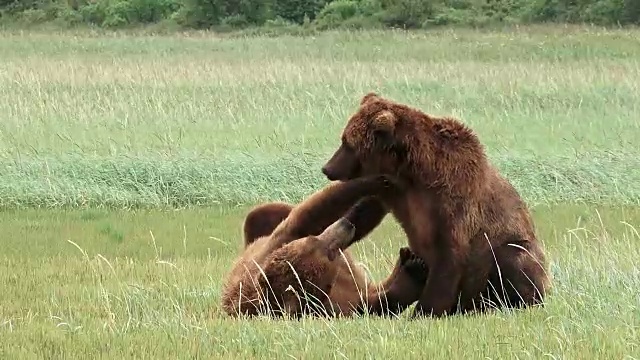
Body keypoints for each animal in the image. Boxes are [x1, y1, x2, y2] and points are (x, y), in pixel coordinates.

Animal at [222, 176, 428, 320]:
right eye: (329, 255)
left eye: (312, 239)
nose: (345, 225)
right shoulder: (334, 304)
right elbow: (370, 303)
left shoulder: (277, 245)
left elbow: (311, 213)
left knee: (262, 214)